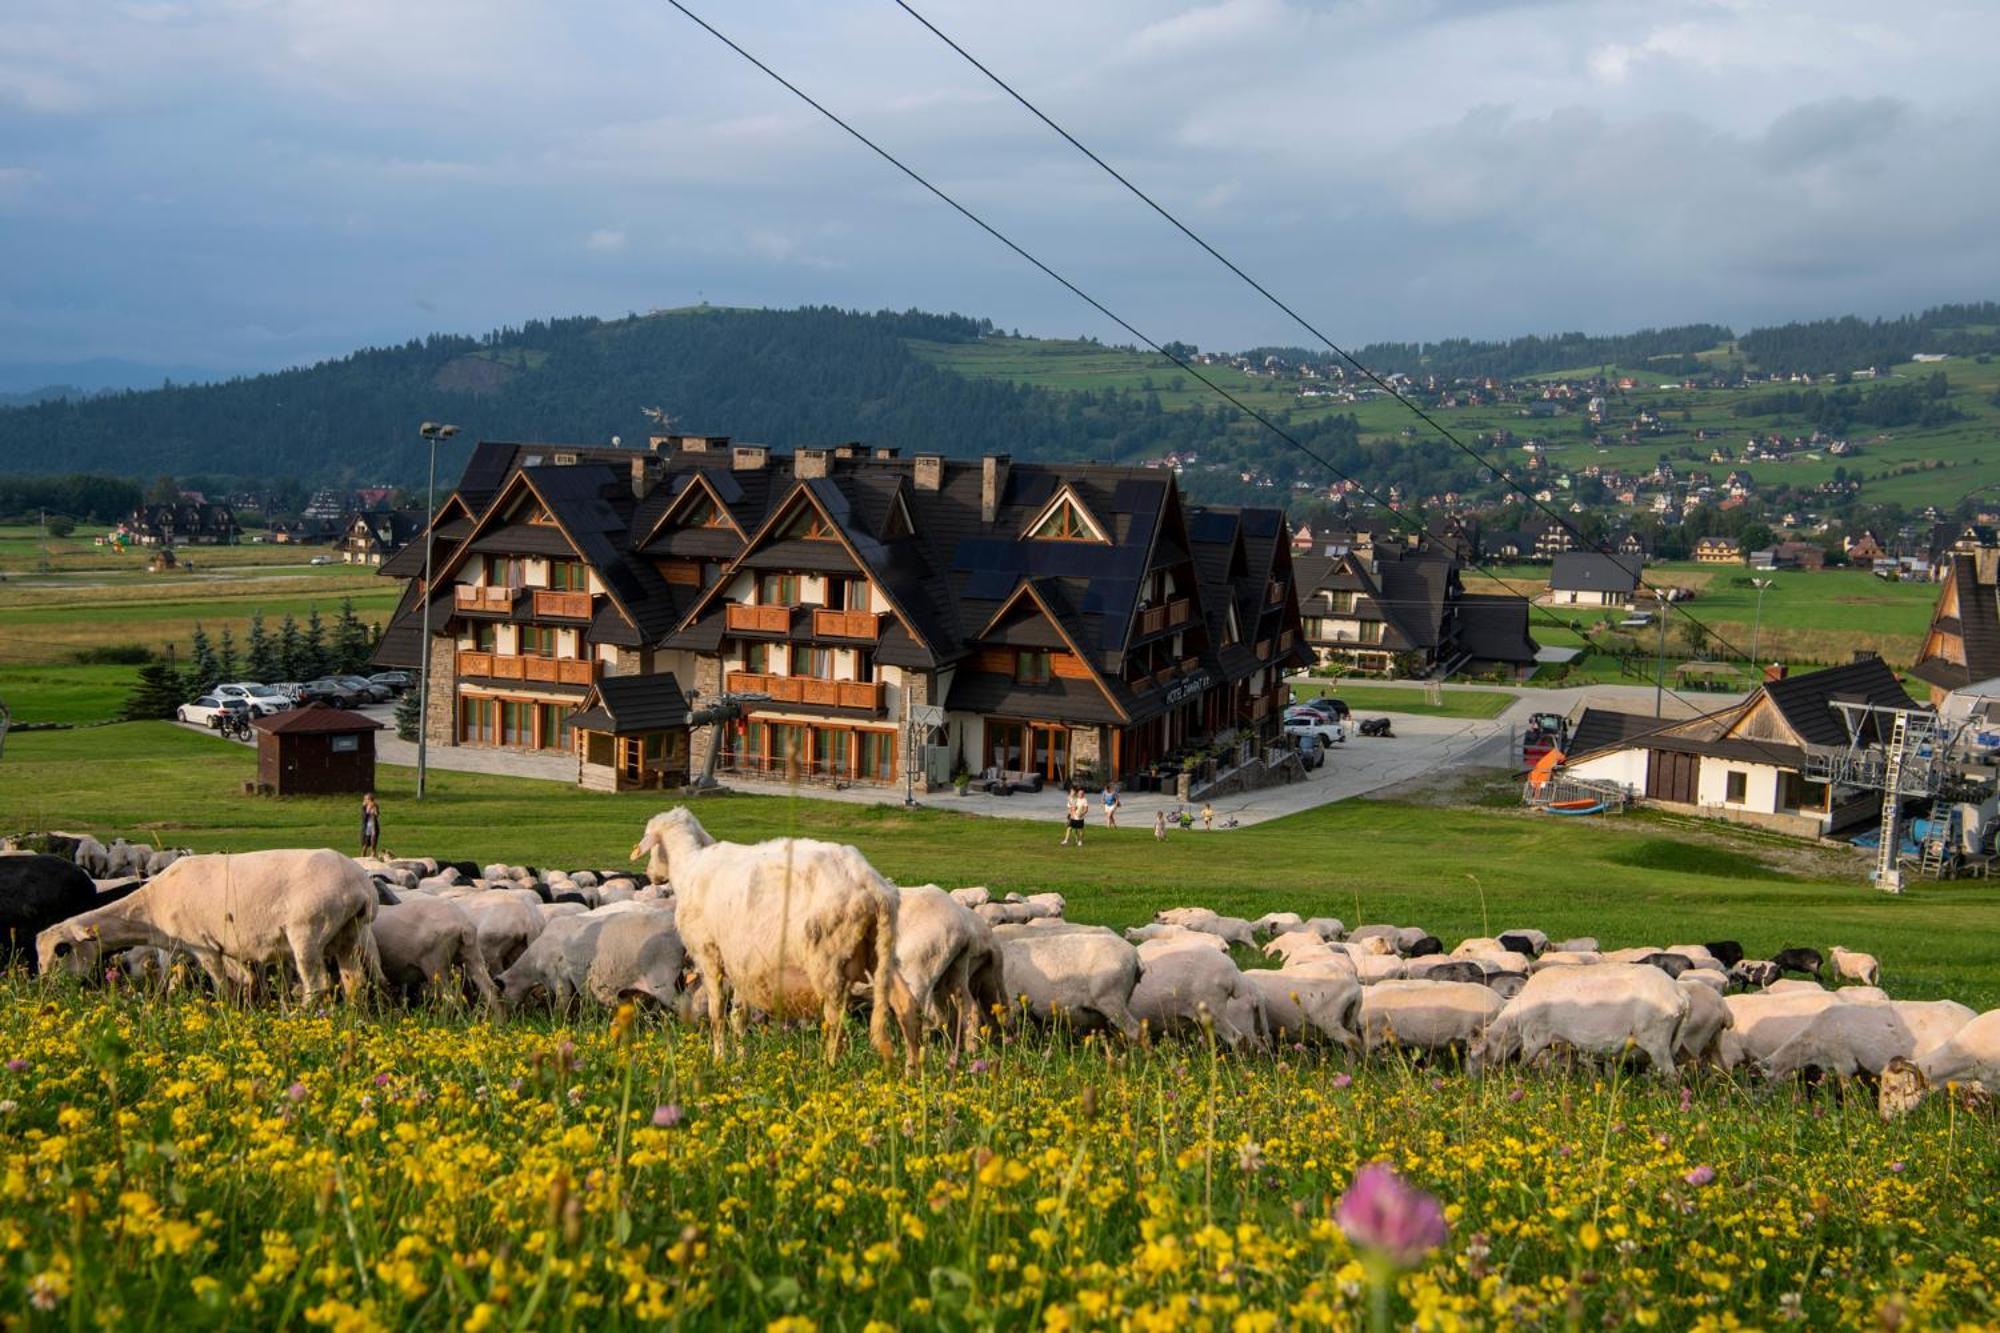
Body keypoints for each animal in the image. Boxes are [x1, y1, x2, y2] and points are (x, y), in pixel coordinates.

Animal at [35, 844, 378, 1000]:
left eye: (61, 950)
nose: (48, 988)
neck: (151, 906)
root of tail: (361, 884)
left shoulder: (205, 947)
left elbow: (222, 986)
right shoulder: (205, 950)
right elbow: (237, 982)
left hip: (308, 932)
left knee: (317, 984)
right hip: (348, 934)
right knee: (354, 981)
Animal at [632, 804, 916, 1064]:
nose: (649, 875)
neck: (687, 867)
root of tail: (872, 885)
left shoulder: (709, 954)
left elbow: (717, 1014)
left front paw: (719, 1060)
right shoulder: (741, 963)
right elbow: (739, 1016)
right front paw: (741, 1061)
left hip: (829, 960)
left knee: (837, 1025)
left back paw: (829, 1069)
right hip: (879, 952)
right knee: (906, 1005)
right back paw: (911, 1071)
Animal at [1472, 960, 1688, 1072]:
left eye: (1477, 1053)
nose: (1476, 1078)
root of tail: (1679, 994)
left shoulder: (1536, 1036)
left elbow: (1525, 1060)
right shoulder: (1564, 1042)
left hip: (1657, 1040)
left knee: (1672, 1075)